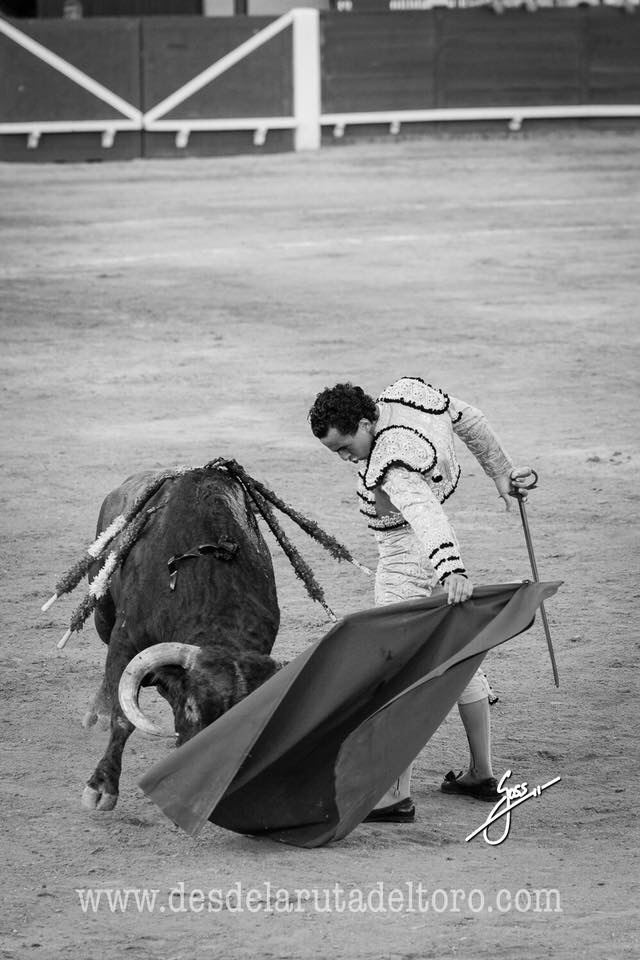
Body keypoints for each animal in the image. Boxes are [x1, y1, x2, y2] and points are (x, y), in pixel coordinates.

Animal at [81, 466, 280, 812]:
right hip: (102, 610)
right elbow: (124, 717)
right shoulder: (126, 639)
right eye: (191, 707)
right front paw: (101, 786)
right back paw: (100, 711)